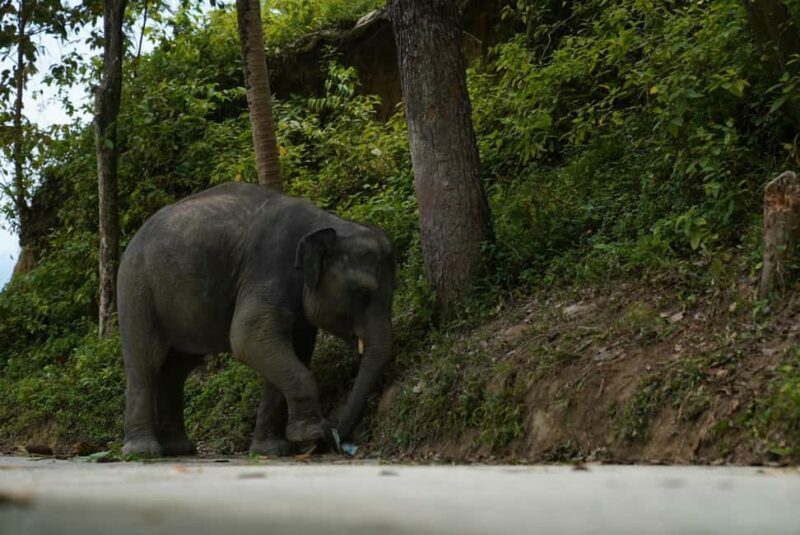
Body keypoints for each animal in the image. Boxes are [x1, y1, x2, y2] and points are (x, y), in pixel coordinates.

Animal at [118, 182, 395, 456]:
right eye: (363, 291)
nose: (334, 437)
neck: (327, 222)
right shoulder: (269, 268)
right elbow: (248, 338)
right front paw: (311, 435)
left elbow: (294, 350)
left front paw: (271, 450)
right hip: (136, 289)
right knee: (145, 362)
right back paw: (142, 452)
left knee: (176, 370)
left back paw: (179, 449)